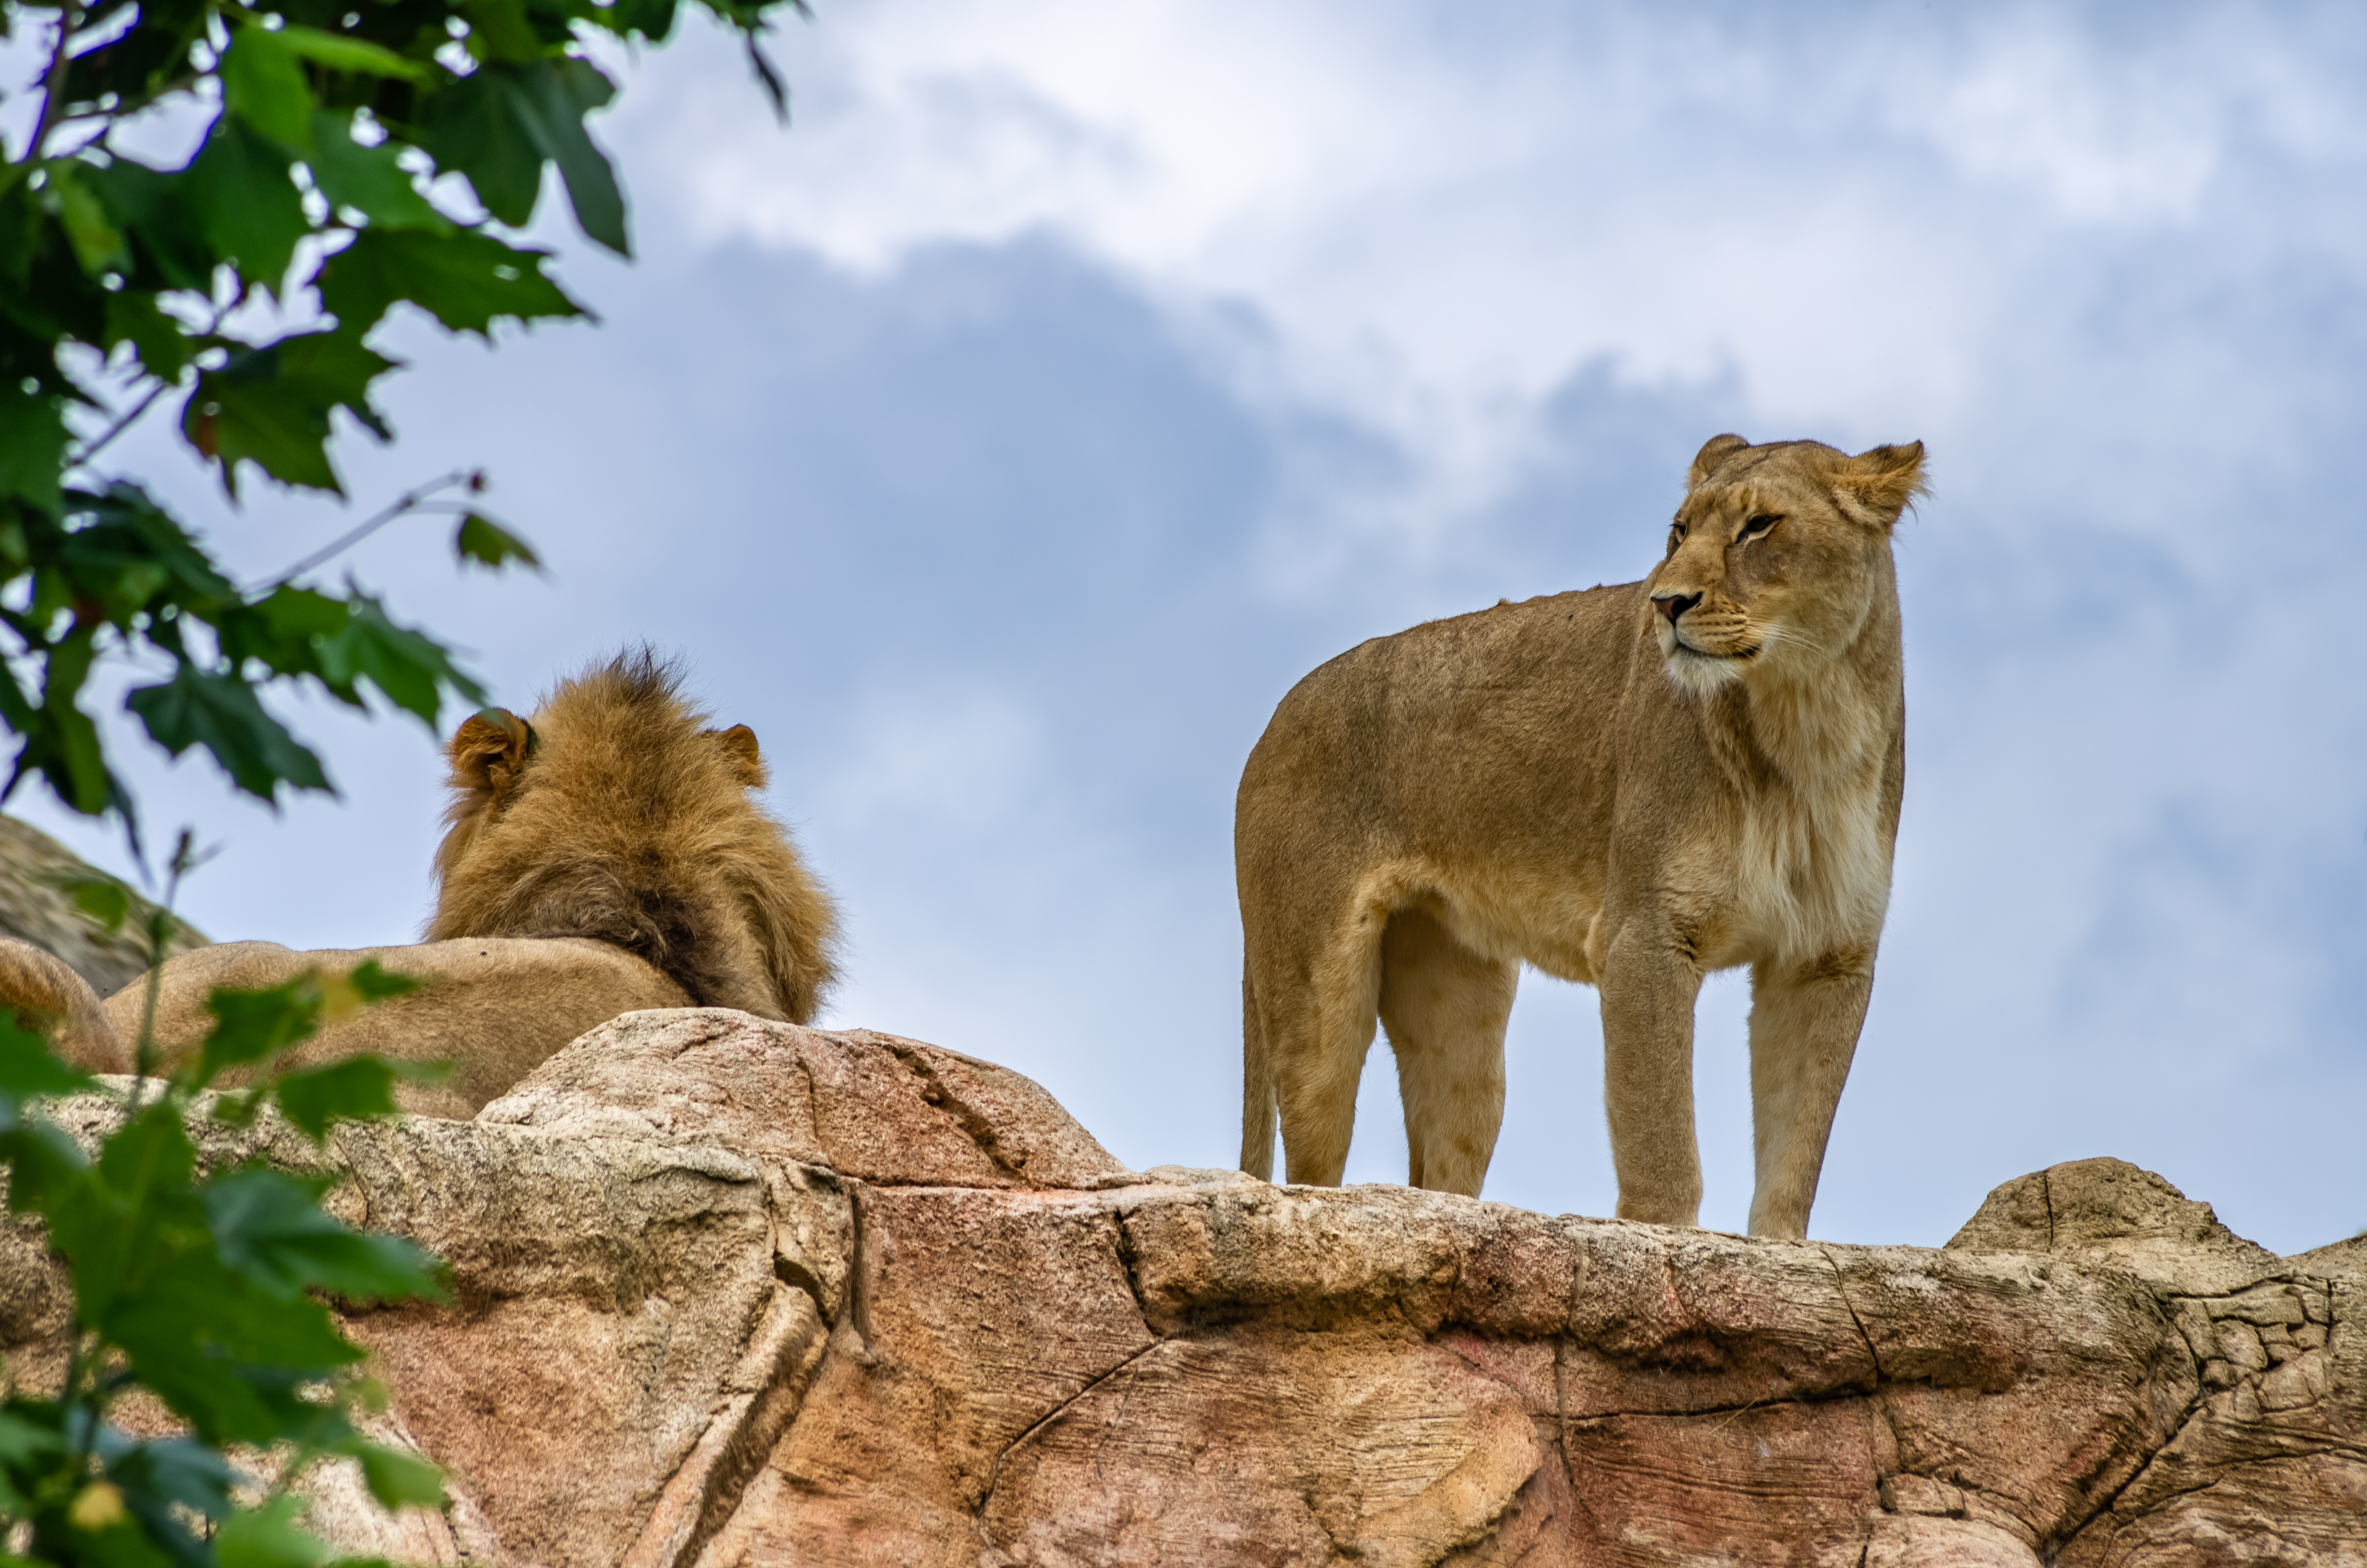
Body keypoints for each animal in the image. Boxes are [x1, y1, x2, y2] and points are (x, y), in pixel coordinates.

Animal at [1240, 438, 1922, 1241]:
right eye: (1678, 532)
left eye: (1758, 525)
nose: (1665, 603)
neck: (1806, 725)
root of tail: (1271, 720)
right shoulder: (1642, 935)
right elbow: (1659, 1139)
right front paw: (1668, 1245)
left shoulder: (1825, 957)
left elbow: (1795, 1144)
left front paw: (1776, 1249)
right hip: (1315, 1001)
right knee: (1311, 1166)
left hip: (1460, 1015)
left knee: (1441, 1162)